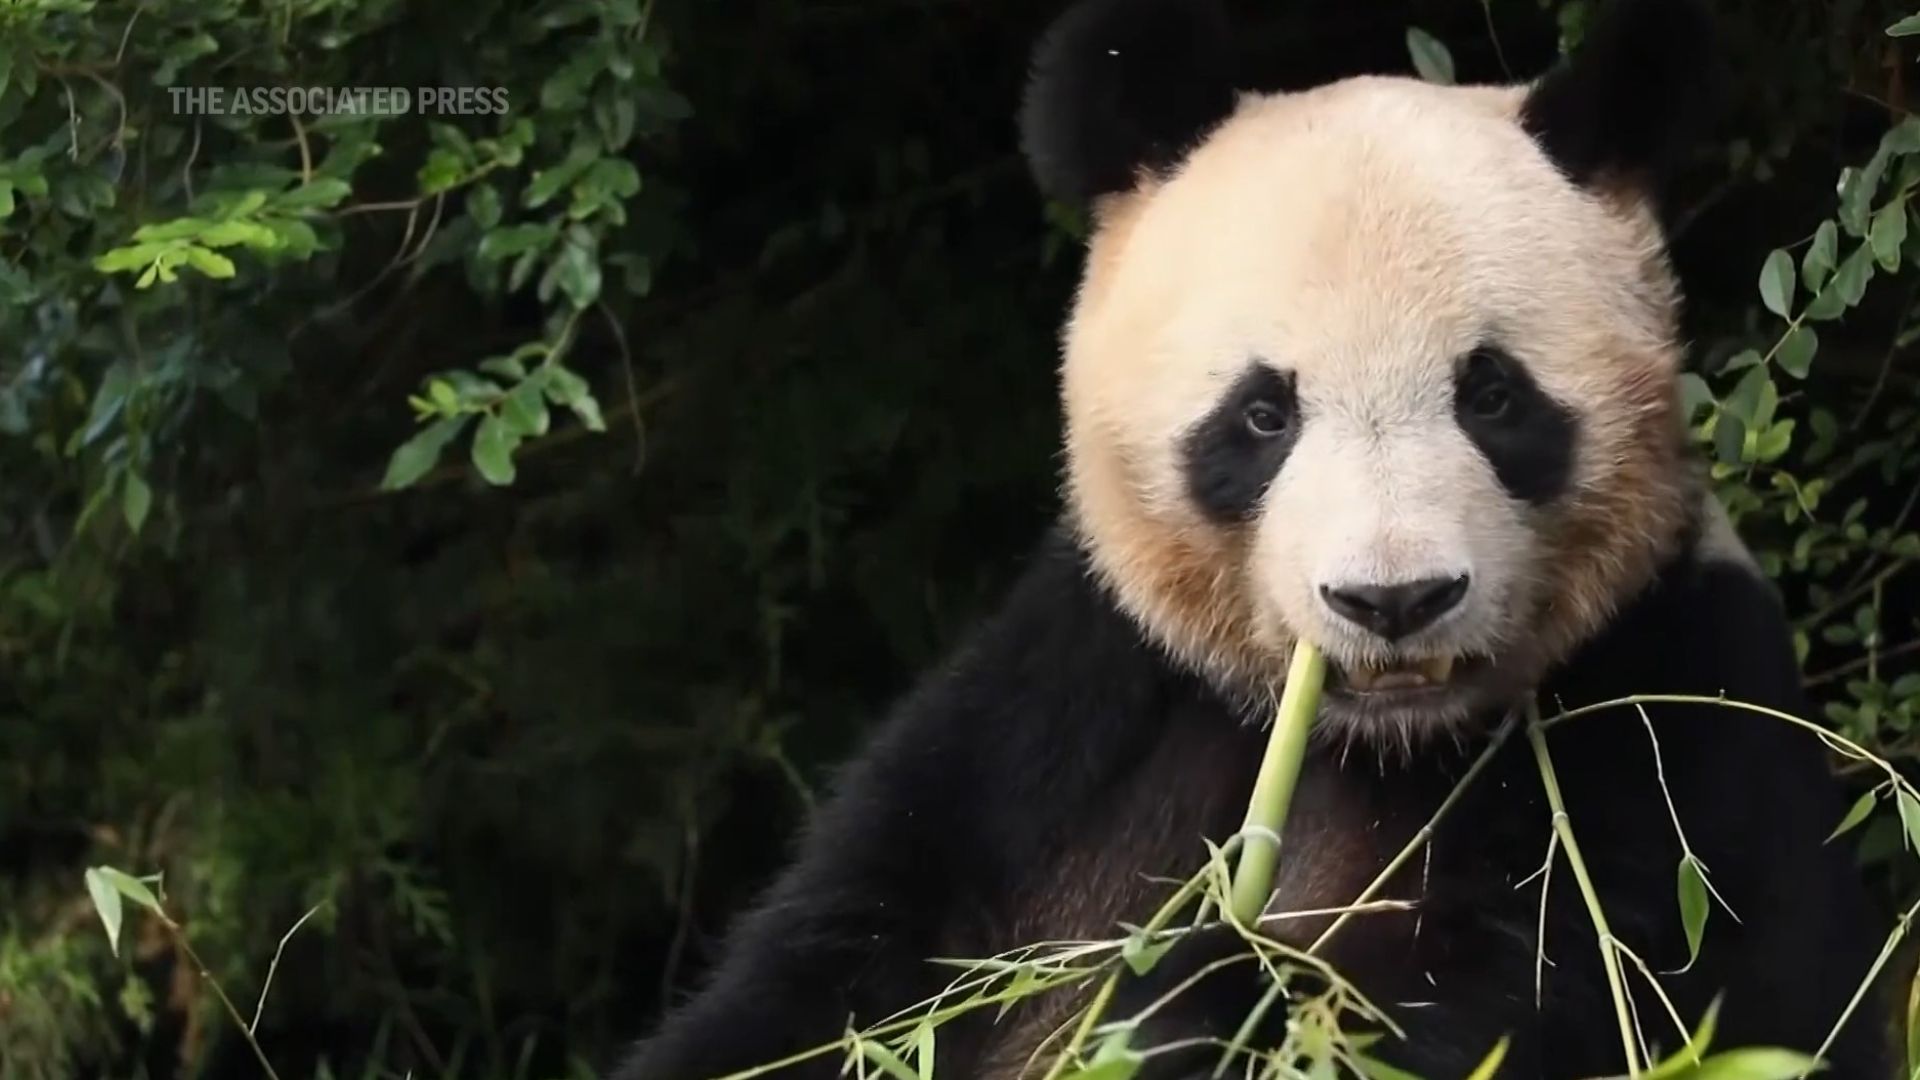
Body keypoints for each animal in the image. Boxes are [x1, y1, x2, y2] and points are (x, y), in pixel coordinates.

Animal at [614, 0, 1889, 1068]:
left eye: (1492, 396)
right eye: (1264, 413)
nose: (1392, 601)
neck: (1371, 739)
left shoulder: (1666, 722)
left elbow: (1534, 992)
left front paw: (1194, 999)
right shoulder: (1079, 706)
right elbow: (835, 974)